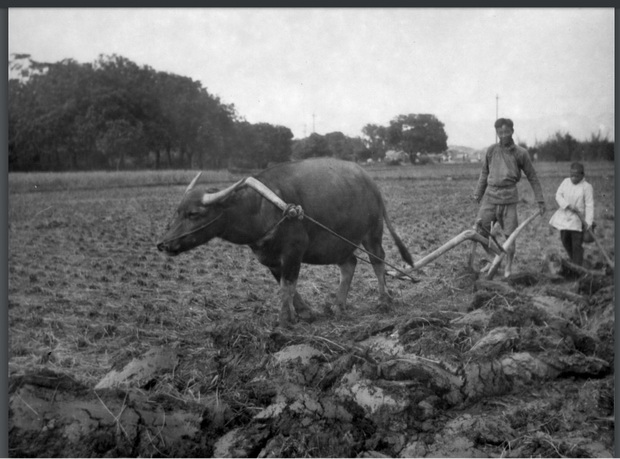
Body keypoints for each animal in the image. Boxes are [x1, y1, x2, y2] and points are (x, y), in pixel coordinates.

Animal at [157, 158, 414, 328]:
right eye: (178, 211)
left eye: (194, 213)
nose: (163, 245)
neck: (259, 208)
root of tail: (371, 183)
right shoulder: (270, 259)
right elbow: (285, 286)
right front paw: (304, 312)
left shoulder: (293, 252)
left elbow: (287, 285)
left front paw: (284, 320)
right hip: (339, 244)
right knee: (349, 265)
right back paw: (338, 305)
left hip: (373, 232)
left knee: (378, 261)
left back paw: (384, 300)